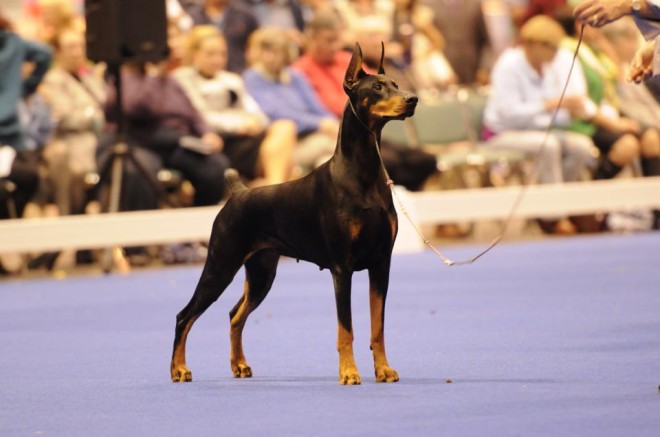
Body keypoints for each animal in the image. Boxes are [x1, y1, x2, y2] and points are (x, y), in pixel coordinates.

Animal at [170, 43, 418, 384]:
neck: (363, 173)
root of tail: (238, 192)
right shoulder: (342, 268)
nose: (413, 99)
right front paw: (349, 373)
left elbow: (377, 327)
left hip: (261, 272)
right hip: (221, 265)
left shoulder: (381, 263)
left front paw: (383, 370)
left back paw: (239, 365)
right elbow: (346, 329)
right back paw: (179, 369)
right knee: (185, 315)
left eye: (395, 83)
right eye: (377, 87)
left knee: (235, 314)